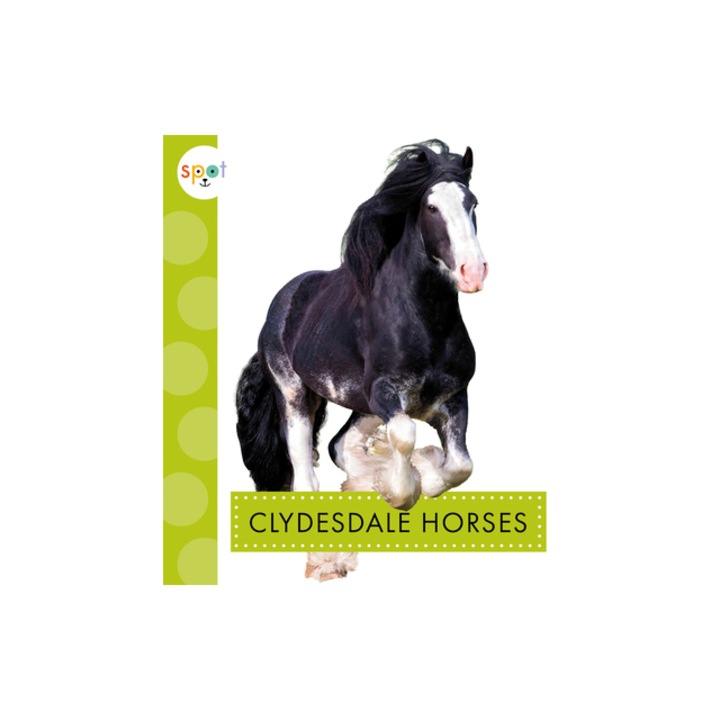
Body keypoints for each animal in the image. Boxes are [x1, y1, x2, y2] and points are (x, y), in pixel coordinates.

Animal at [236, 140, 488, 578]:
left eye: (472, 202)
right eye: (431, 207)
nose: (472, 272)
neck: (426, 323)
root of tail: (282, 301)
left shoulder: (454, 398)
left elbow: (460, 465)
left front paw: (421, 475)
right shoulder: (386, 393)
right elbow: (405, 435)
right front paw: (401, 490)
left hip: (361, 406)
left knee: (339, 445)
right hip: (296, 396)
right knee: (304, 472)